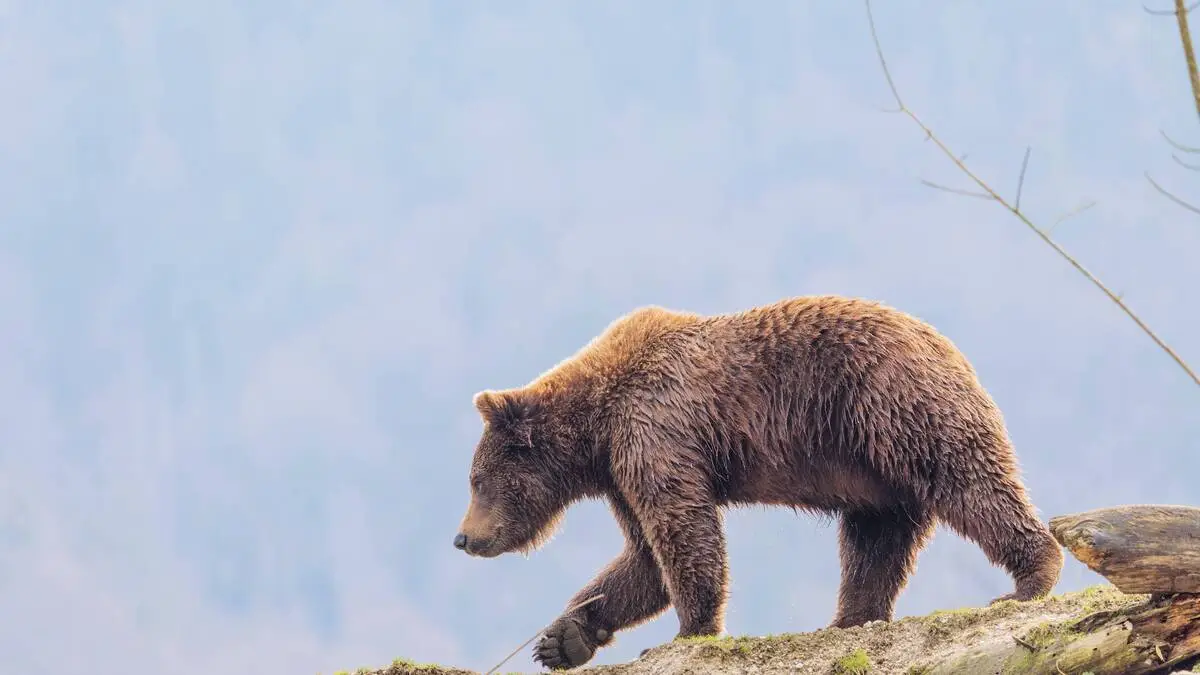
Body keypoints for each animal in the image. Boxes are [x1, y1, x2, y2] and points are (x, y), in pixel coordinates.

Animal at [452, 295, 1063, 671]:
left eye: (476, 481)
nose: (463, 537)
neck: (595, 428)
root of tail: (949, 346)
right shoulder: (622, 473)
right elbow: (644, 559)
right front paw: (563, 638)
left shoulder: (656, 430)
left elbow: (682, 532)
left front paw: (691, 629)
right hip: (875, 467)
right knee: (875, 540)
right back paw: (850, 618)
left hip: (896, 405)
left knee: (970, 482)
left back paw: (1031, 575)